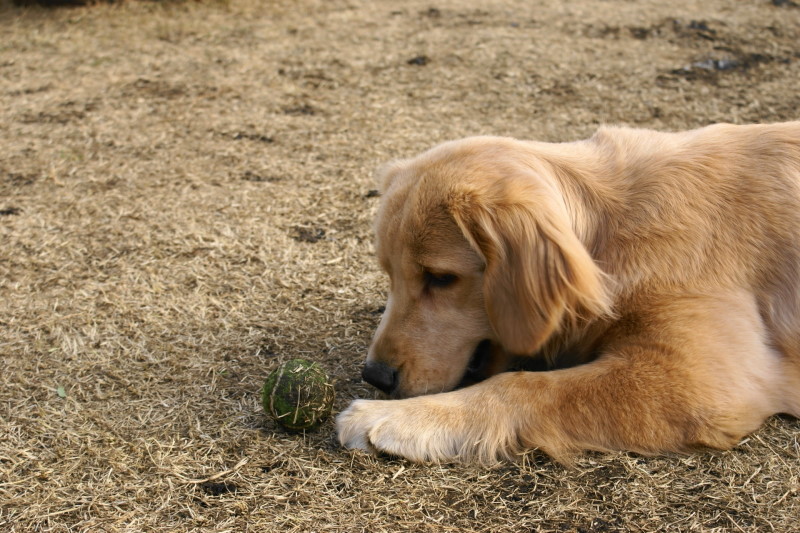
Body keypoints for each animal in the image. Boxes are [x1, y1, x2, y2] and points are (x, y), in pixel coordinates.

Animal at [338, 122, 800, 464]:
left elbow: (521, 386)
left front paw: (392, 418)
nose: (375, 376)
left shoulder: (699, 381)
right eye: (389, 274)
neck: (610, 235)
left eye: (439, 278)